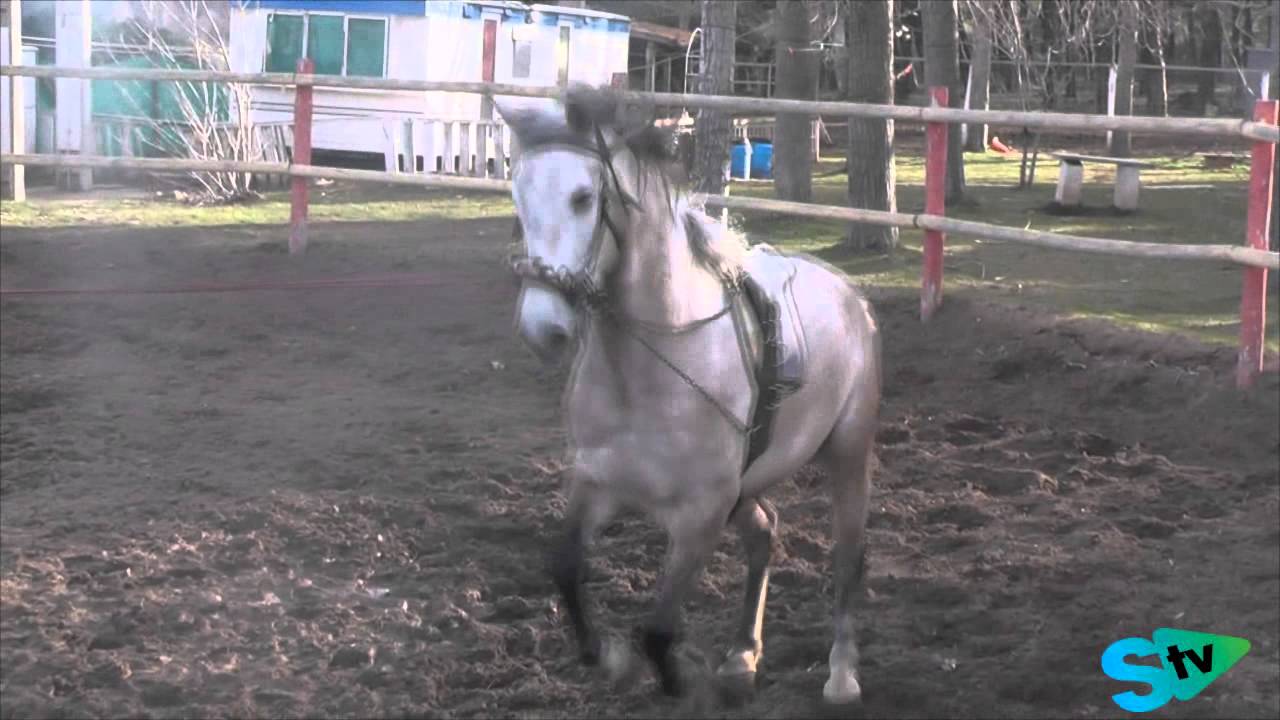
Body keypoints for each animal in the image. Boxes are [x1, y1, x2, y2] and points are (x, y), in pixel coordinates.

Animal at [498, 87, 882, 706]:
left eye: (583, 198)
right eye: (518, 196)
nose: (543, 327)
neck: (650, 369)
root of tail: (851, 296)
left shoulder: (700, 514)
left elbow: (657, 628)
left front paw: (680, 683)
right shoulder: (595, 482)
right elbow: (565, 568)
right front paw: (609, 659)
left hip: (848, 456)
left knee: (848, 557)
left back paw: (841, 675)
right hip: (747, 486)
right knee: (764, 534)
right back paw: (742, 656)